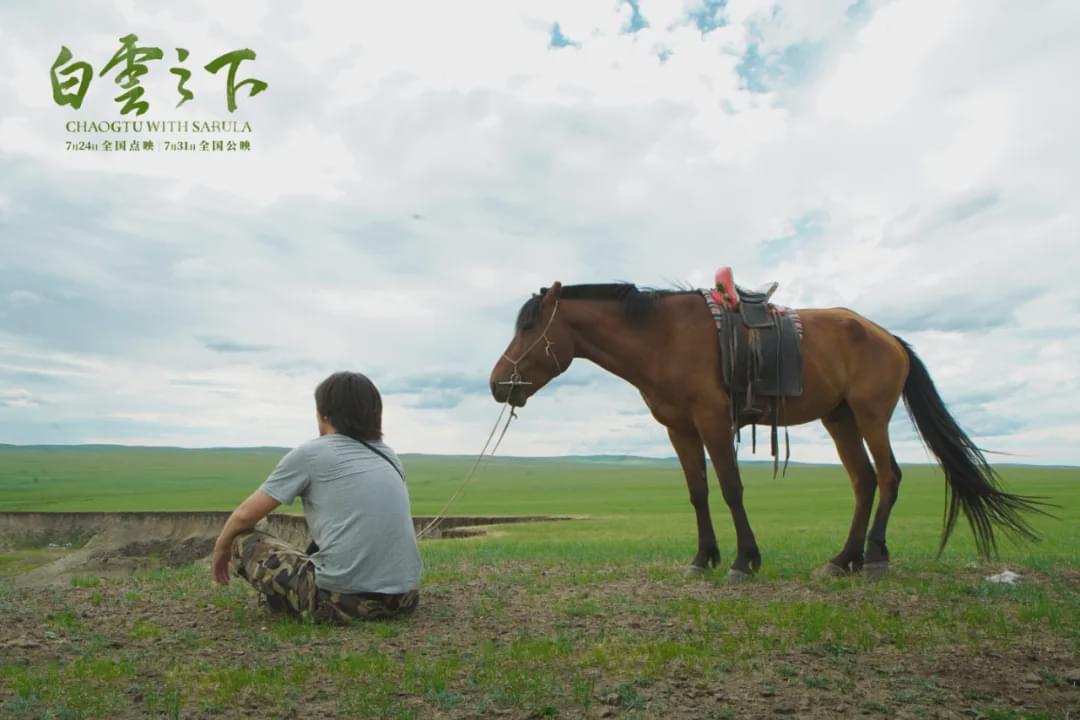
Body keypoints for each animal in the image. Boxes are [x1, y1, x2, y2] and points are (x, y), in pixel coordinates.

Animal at [490, 280, 1045, 578]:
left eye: (529, 327)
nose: (497, 384)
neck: (663, 337)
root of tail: (889, 337)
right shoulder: (679, 429)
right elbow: (698, 492)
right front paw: (704, 557)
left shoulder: (713, 421)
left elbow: (731, 488)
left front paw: (744, 560)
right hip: (840, 418)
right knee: (864, 481)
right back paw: (842, 560)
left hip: (871, 414)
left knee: (888, 478)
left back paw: (873, 557)